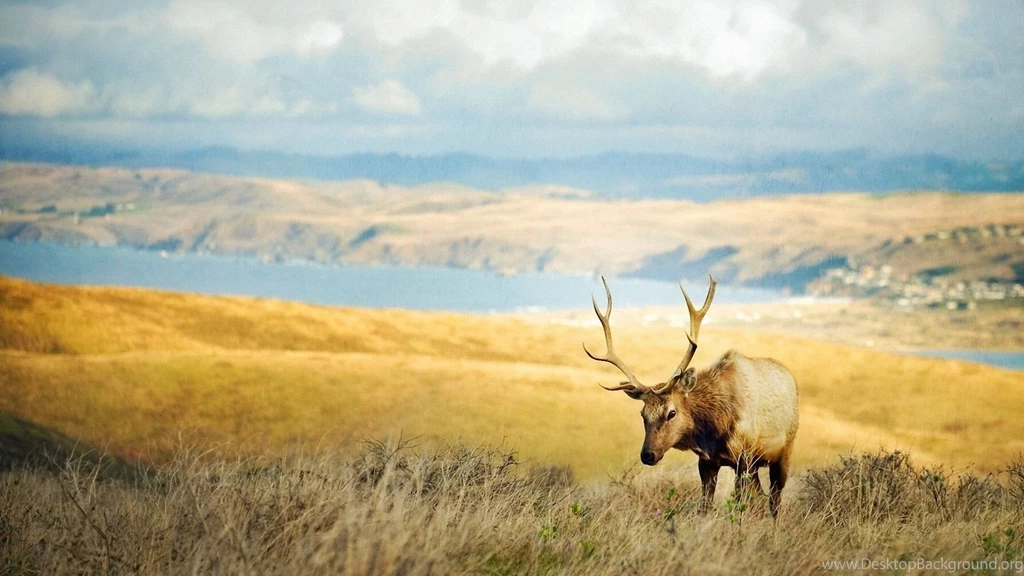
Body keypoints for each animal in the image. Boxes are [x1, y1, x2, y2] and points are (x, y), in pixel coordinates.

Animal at [584, 276, 799, 517]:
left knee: (774, 499)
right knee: (762, 496)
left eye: (671, 413)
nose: (647, 455)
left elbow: (739, 505)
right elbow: (704, 506)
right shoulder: (707, 462)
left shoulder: (744, 457)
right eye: (642, 414)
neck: (714, 428)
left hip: (784, 450)